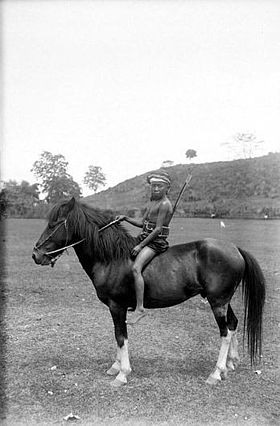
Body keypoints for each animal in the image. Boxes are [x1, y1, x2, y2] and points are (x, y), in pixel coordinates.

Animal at [32, 198, 264, 388]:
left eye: (54, 224)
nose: (36, 254)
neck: (112, 258)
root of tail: (235, 248)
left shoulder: (117, 306)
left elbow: (120, 336)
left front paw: (122, 373)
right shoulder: (116, 308)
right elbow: (118, 335)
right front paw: (116, 367)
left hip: (217, 302)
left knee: (225, 332)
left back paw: (216, 373)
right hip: (223, 300)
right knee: (232, 325)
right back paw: (230, 364)